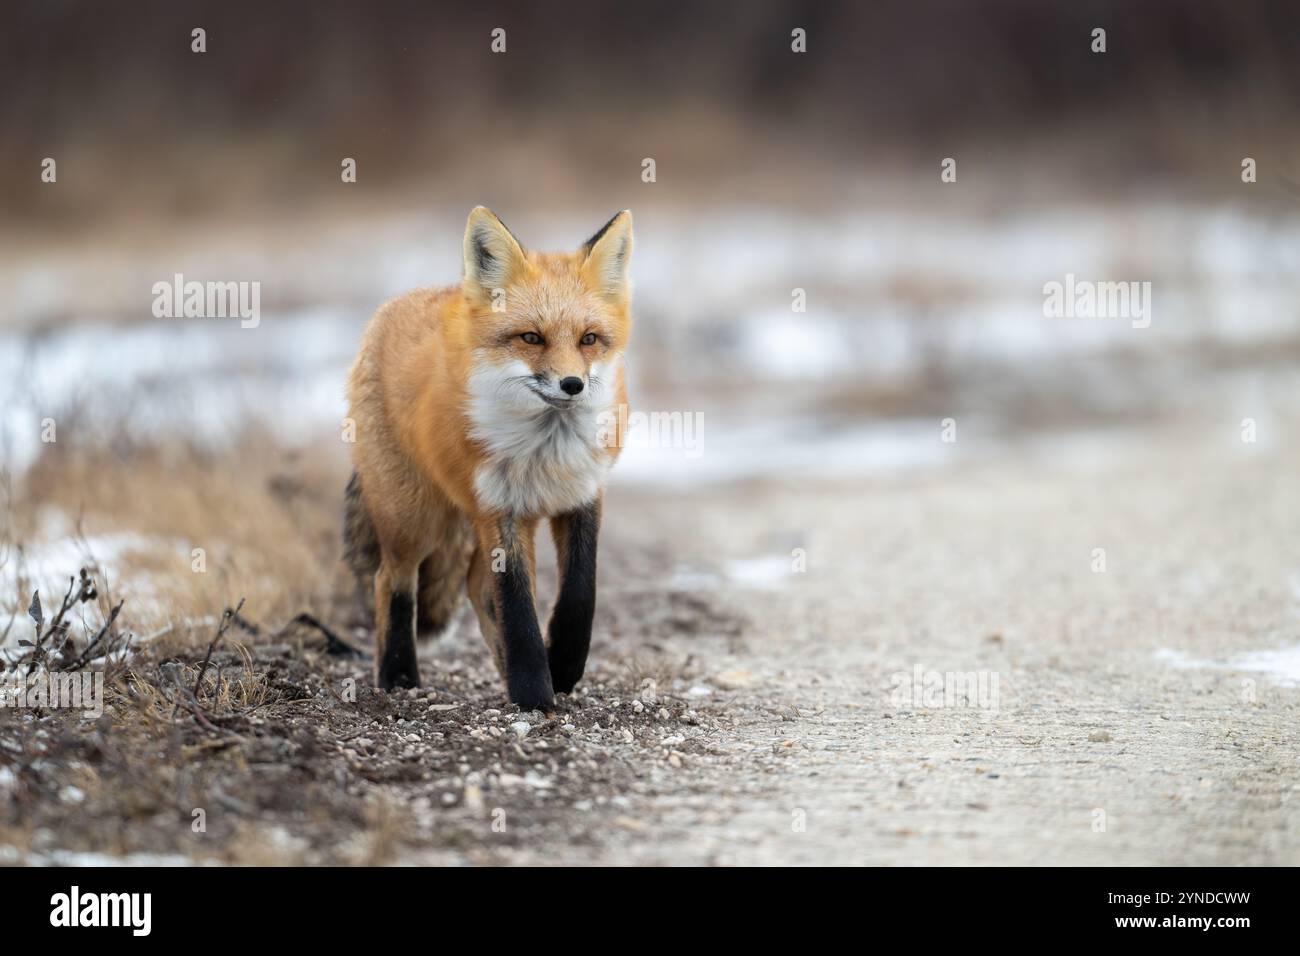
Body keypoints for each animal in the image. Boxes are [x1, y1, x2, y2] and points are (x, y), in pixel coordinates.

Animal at [343, 205, 631, 707]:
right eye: (531, 338)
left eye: (589, 339)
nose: (572, 385)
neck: (547, 449)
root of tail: (391, 308)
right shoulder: (498, 509)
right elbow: (516, 605)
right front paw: (534, 693)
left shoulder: (583, 494)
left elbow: (580, 592)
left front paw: (563, 665)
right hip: (412, 517)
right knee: (391, 580)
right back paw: (399, 675)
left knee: (476, 588)